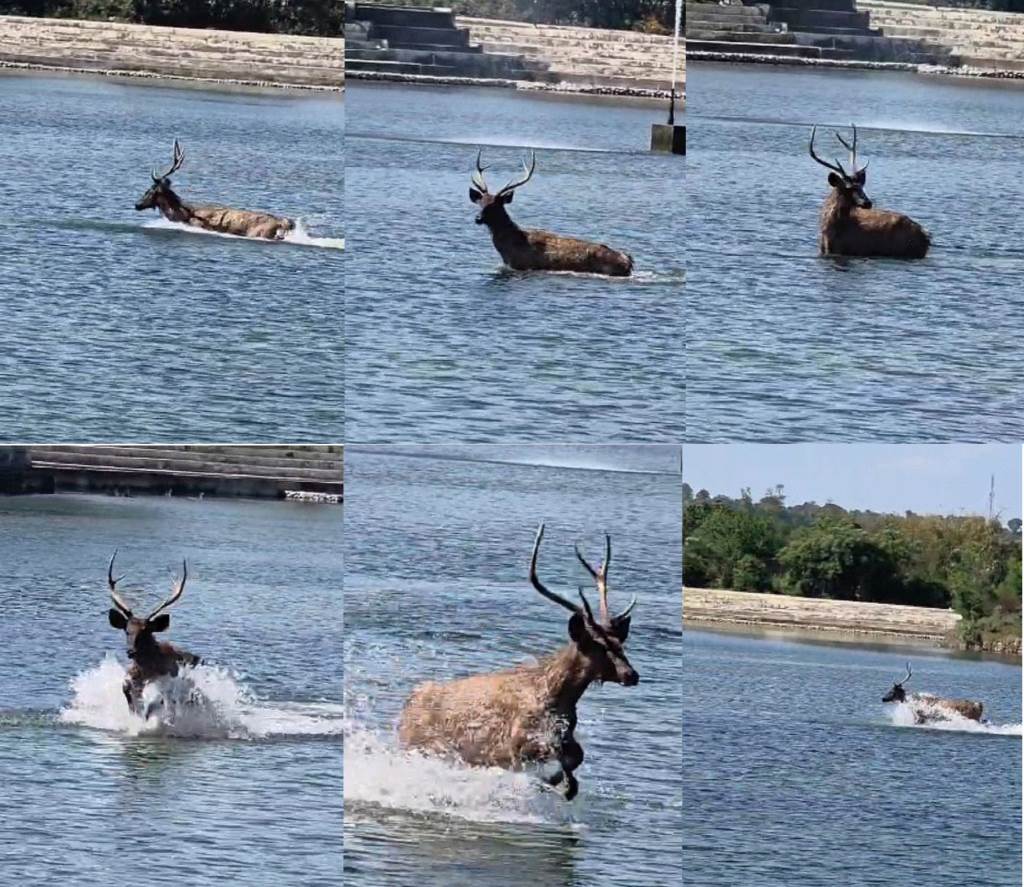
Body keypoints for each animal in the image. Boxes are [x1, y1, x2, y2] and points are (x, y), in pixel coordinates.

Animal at [106, 550, 201, 719]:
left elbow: (159, 699)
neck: (148, 670)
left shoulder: (167, 680)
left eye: (145, 631)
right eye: (127, 630)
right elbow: (127, 688)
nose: (130, 651)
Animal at [135, 140, 295, 241]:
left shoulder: (198, 225)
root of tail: (283, 222)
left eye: (149, 190)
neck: (183, 214)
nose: (137, 204)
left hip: (260, 233)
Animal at [397, 523, 639, 800]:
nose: (631, 674)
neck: (557, 696)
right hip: (418, 745)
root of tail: (404, 709)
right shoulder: (515, 742)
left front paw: (564, 784)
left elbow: (576, 757)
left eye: (620, 644)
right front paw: (555, 782)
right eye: (598, 646)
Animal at [469, 150, 634, 276]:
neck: (509, 247)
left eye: (495, 205)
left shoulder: (522, 265)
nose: (478, 218)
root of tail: (628, 261)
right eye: (481, 202)